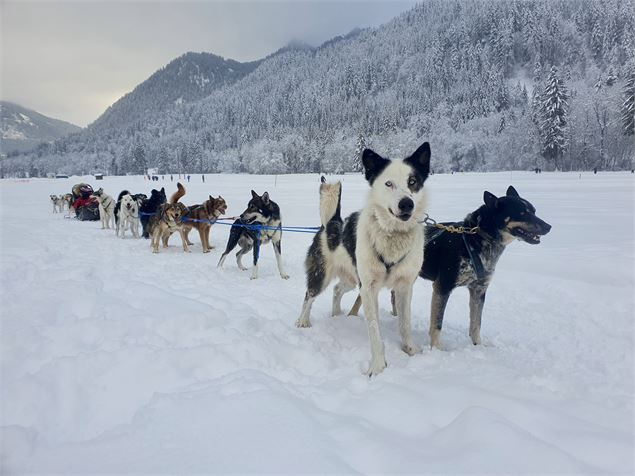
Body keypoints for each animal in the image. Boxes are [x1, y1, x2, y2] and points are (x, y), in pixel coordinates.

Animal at [298, 143, 432, 378]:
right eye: (388, 183)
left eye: (413, 182)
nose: (407, 204)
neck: (392, 235)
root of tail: (330, 223)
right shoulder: (368, 288)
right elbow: (374, 330)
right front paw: (378, 366)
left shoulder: (404, 286)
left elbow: (404, 323)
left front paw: (410, 349)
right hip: (321, 276)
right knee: (309, 295)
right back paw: (302, 321)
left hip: (352, 280)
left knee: (337, 290)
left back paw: (337, 315)